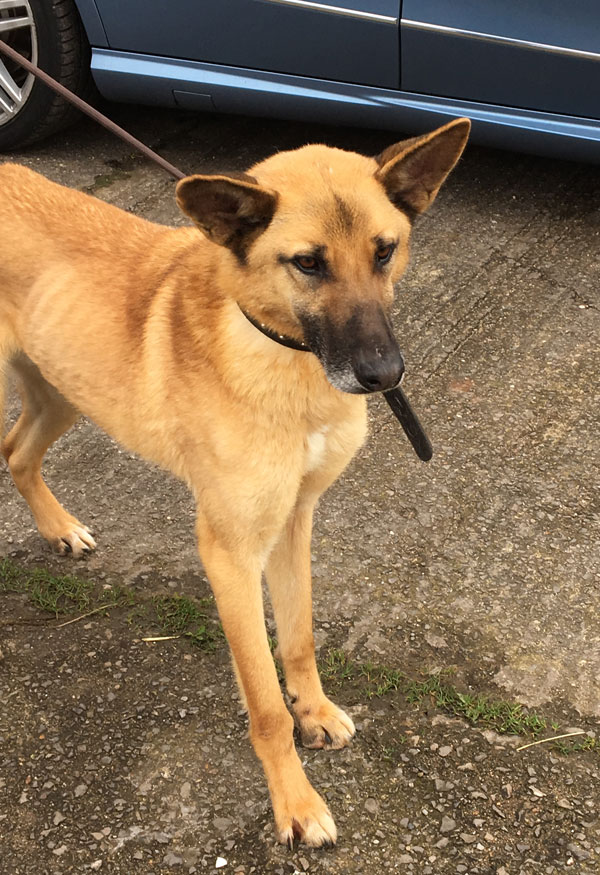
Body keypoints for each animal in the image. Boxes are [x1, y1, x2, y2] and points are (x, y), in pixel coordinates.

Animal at [0, 116, 468, 848]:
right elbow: (265, 705)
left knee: (16, 454)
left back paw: (59, 529)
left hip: (63, 394)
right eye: (308, 263)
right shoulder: (230, 555)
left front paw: (315, 711)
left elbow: (299, 639)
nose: (383, 374)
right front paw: (295, 802)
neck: (278, 349)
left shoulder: (293, 523)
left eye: (385, 251)